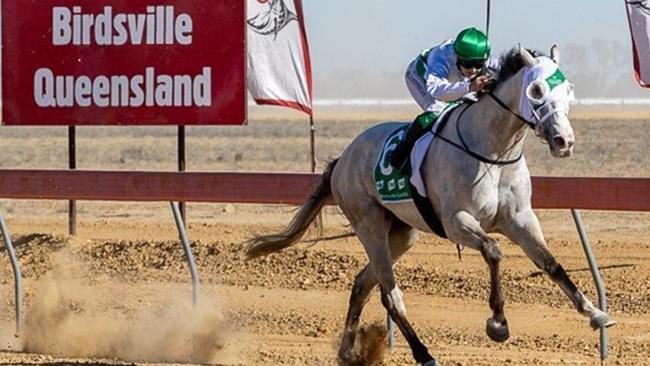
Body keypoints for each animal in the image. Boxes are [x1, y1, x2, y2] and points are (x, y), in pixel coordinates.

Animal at [243, 46, 612, 366]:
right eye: (536, 90)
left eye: (569, 89)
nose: (564, 141)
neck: (493, 150)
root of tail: (342, 159)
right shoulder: (457, 222)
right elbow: (493, 251)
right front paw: (498, 324)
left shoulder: (520, 220)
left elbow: (551, 264)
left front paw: (595, 313)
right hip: (369, 225)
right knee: (390, 294)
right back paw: (423, 354)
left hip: (401, 234)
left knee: (363, 283)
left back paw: (348, 351)